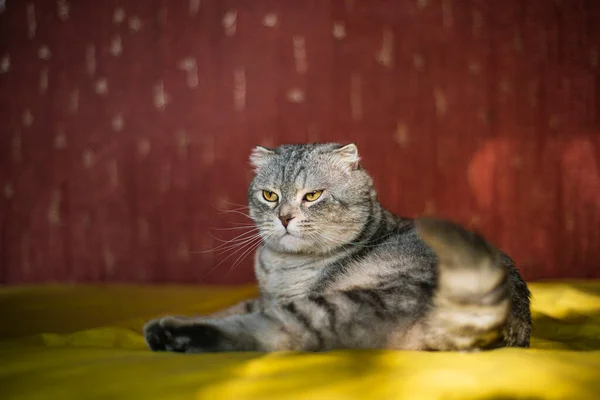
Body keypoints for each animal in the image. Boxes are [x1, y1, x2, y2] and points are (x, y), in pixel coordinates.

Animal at [144, 142, 528, 352]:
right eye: (269, 195)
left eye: (312, 195)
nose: (284, 217)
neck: (281, 265)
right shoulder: (264, 297)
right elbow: (230, 307)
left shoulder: (289, 300)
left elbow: (240, 317)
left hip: (339, 305)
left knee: (269, 333)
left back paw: (172, 335)